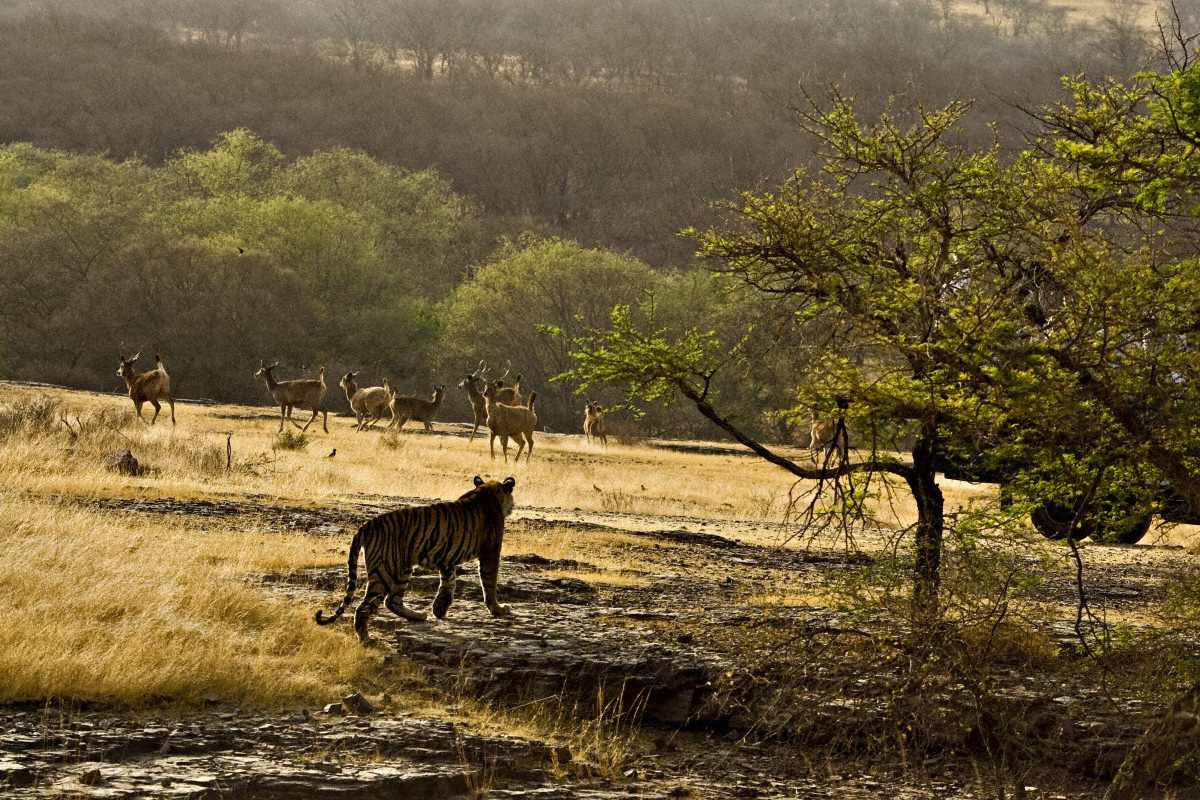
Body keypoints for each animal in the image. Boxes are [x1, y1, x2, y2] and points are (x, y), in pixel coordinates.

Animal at [315, 475, 517, 643]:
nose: (513, 506)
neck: (487, 490)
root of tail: (366, 525)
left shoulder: (447, 558)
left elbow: (448, 582)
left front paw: (439, 609)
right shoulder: (490, 552)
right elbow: (489, 583)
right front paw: (498, 609)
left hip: (402, 567)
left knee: (392, 601)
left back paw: (418, 616)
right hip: (384, 571)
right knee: (364, 607)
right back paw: (366, 639)